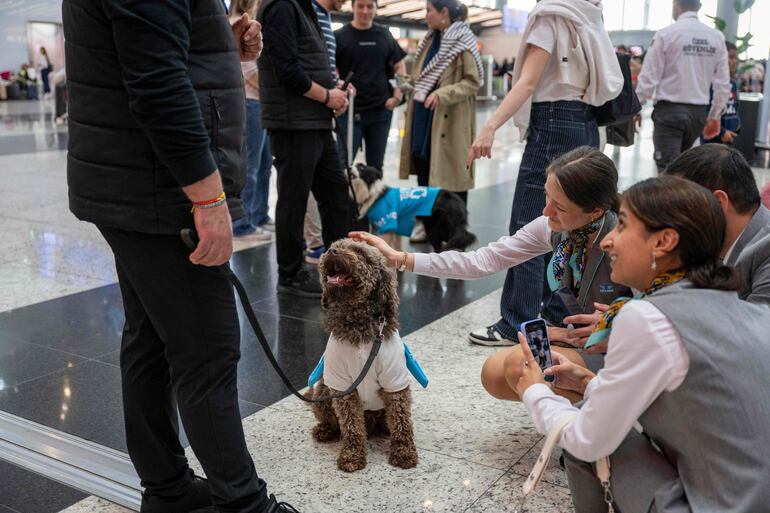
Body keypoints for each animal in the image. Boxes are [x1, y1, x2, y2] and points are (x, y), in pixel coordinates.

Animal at [304, 240, 416, 472]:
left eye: (360, 253)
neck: (357, 322)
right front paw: (352, 455)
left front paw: (404, 452)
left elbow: (401, 420)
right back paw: (325, 430)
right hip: (323, 391)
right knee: (333, 420)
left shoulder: (394, 382)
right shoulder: (342, 387)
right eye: (336, 245)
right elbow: (351, 426)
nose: (331, 251)